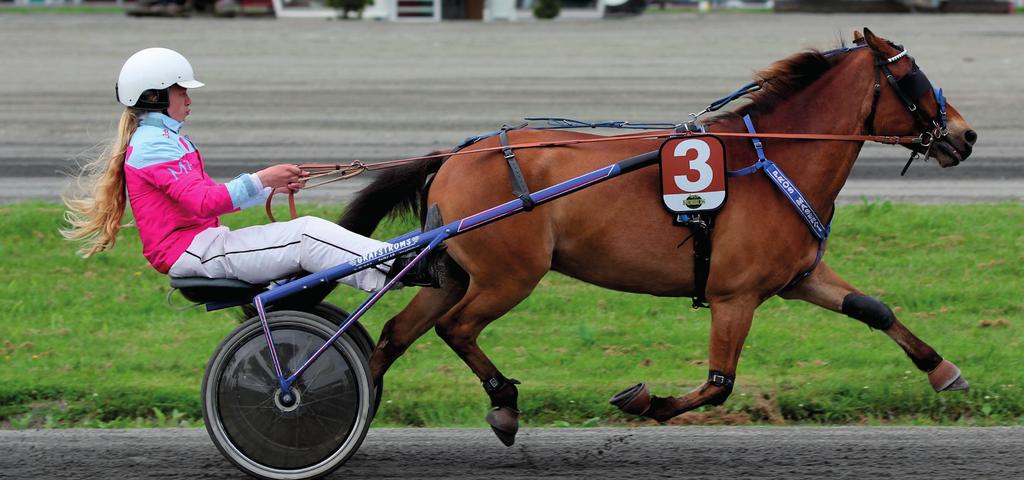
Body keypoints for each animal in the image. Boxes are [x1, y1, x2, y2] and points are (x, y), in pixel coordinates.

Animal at [337, 29, 974, 442]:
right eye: (912, 77)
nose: (965, 136)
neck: (773, 158)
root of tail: (454, 158)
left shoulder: (799, 276)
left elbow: (874, 309)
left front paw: (943, 370)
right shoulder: (734, 295)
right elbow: (718, 384)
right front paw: (647, 400)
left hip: (458, 274)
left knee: (394, 335)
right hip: (507, 276)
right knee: (456, 328)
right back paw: (504, 404)